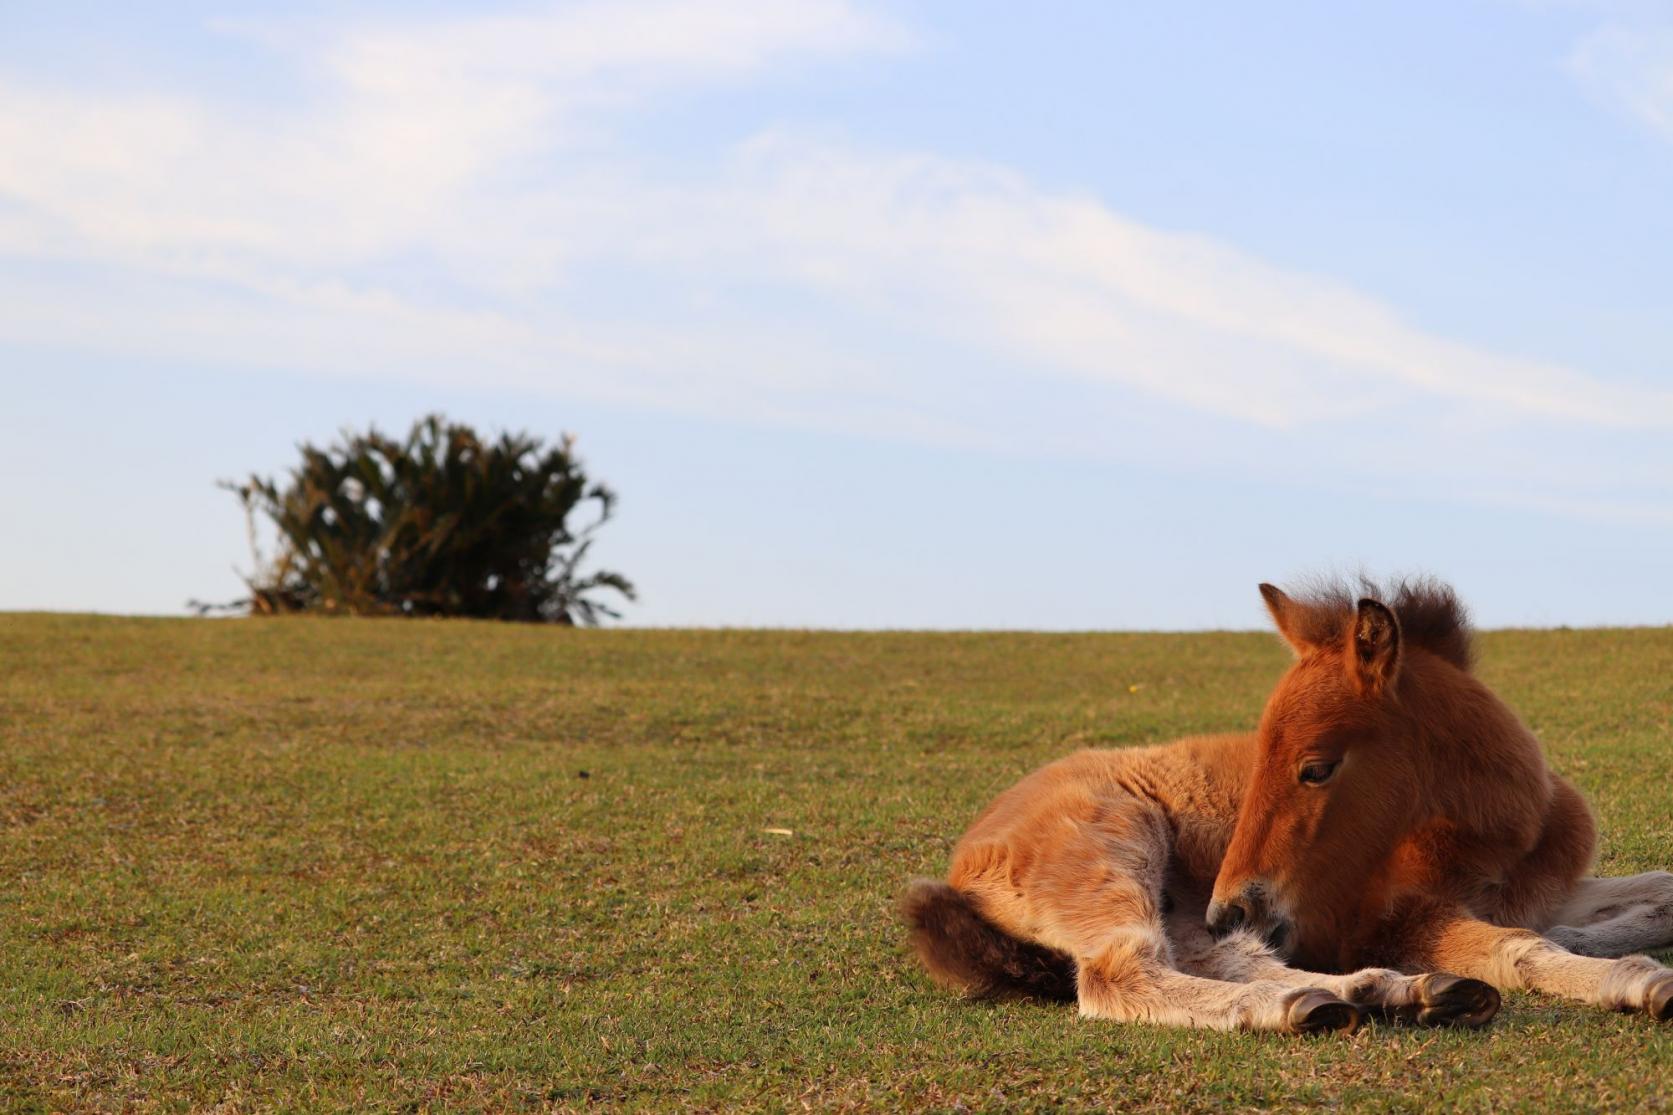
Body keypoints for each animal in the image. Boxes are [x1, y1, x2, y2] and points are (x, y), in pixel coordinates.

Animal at [901, 578, 1673, 1033]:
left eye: (1314, 766)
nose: (1230, 904)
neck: (1500, 838)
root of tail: (966, 857)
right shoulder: (1398, 917)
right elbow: (1519, 948)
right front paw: (1636, 981)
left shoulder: (1545, 888)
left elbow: (1656, 891)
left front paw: (1592, 939)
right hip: (1115, 852)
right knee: (1122, 971)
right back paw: (1303, 1003)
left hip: (1181, 908)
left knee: (1223, 956)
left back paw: (1387, 994)